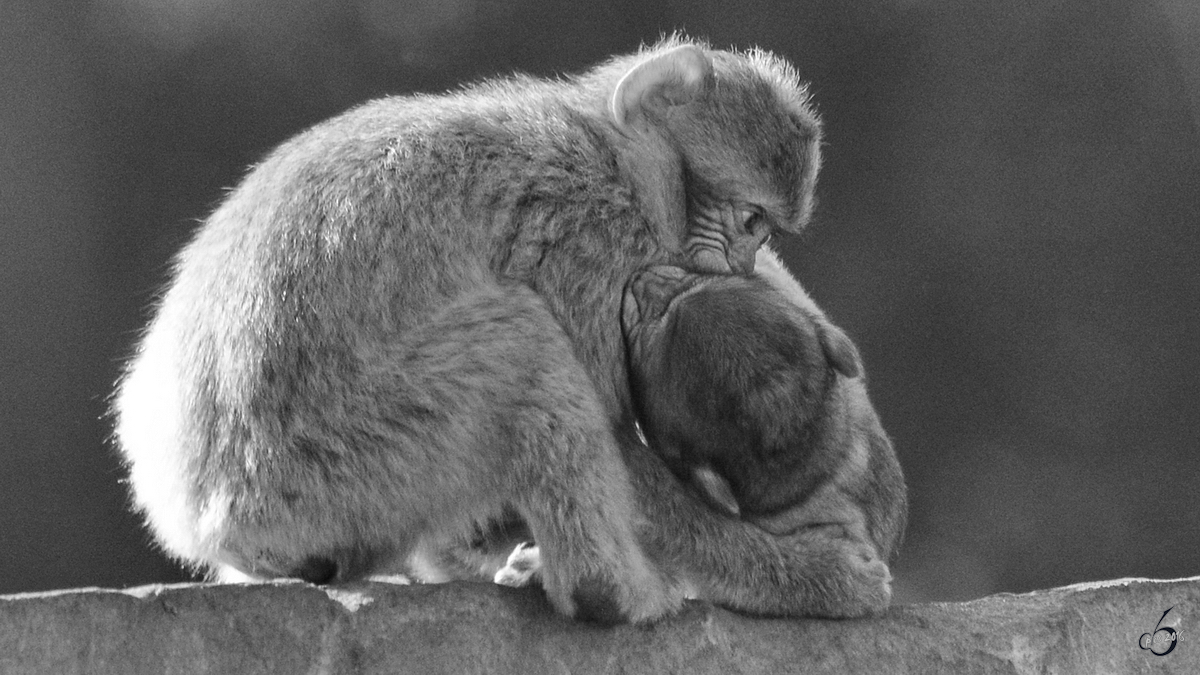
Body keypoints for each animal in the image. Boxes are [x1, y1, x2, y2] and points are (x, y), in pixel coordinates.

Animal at [112, 36, 873, 619]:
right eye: (750, 220)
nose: (741, 265)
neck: (607, 149)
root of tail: (195, 515)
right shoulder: (591, 244)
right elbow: (623, 446)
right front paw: (812, 575)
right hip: (331, 463)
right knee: (521, 342)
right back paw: (609, 594)